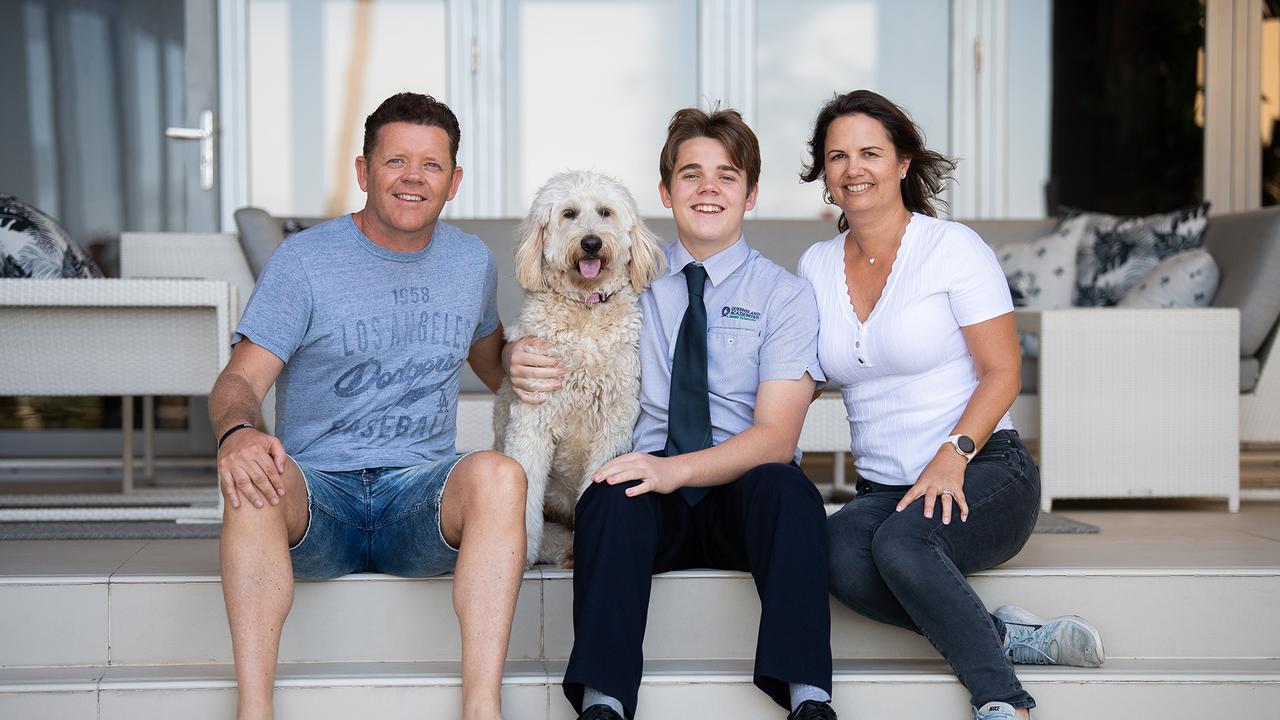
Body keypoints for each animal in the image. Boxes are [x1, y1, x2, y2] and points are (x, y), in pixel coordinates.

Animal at [494, 170, 665, 563]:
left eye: (605, 212)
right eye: (569, 213)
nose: (590, 243)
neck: (585, 309)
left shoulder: (615, 423)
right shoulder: (532, 422)